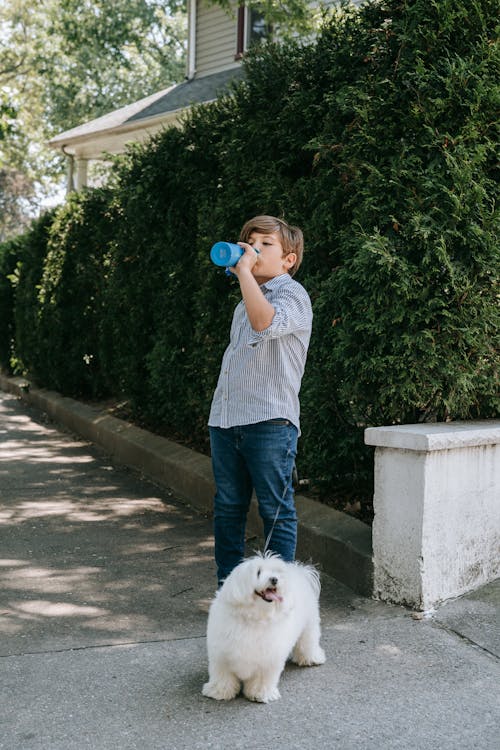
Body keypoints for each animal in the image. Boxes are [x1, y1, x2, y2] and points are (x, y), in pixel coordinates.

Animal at [201, 552, 326, 704]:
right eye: (258, 572)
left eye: (276, 573)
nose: (274, 579)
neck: (255, 616)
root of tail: (300, 571)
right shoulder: (222, 656)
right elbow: (223, 676)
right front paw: (220, 691)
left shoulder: (267, 659)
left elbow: (262, 679)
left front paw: (259, 693)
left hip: (309, 626)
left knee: (307, 643)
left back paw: (312, 658)